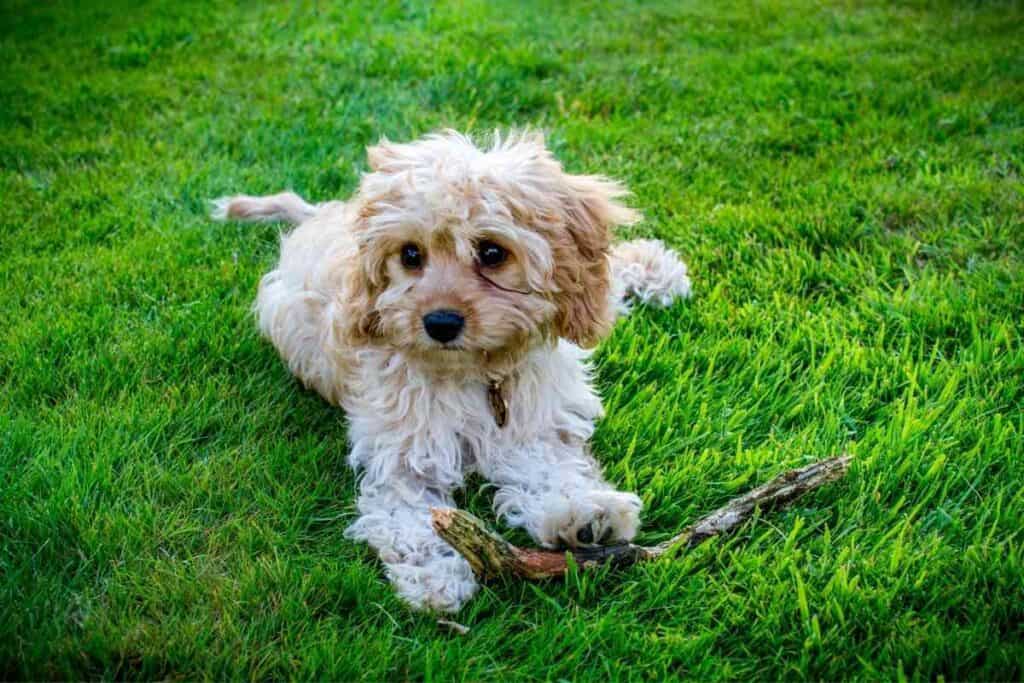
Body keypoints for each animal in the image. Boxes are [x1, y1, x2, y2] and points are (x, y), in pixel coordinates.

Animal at [211, 131, 692, 610]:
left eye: (492, 251)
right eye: (410, 254)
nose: (440, 323)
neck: (477, 373)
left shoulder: (531, 425)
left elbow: (550, 467)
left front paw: (584, 513)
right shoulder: (404, 454)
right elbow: (413, 518)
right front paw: (434, 576)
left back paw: (656, 269)